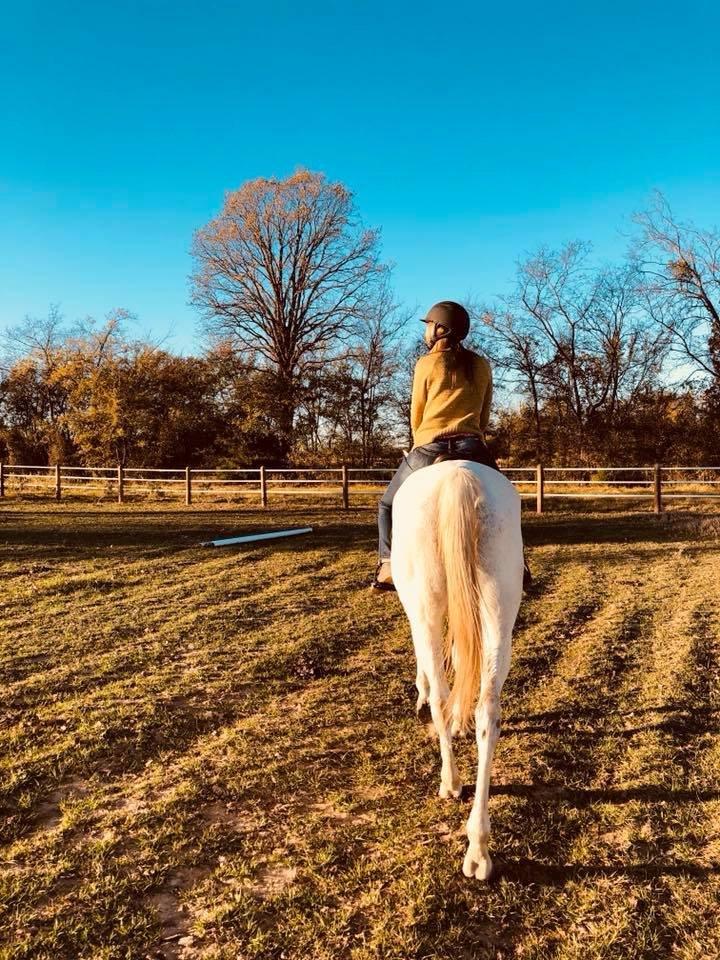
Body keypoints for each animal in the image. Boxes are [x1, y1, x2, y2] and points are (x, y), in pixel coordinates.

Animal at [390, 458, 524, 876]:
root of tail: (456, 477)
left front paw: (421, 693)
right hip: (499, 609)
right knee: (488, 714)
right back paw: (478, 847)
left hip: (426, 606)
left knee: (441, 699)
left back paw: (450, 782)